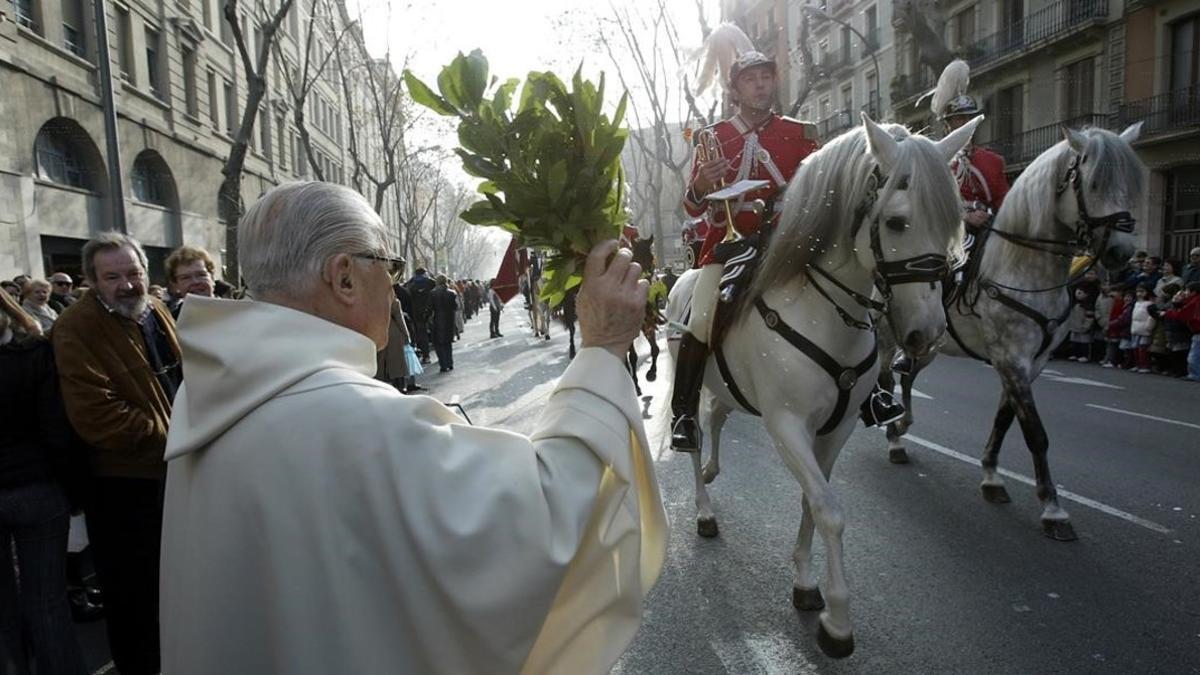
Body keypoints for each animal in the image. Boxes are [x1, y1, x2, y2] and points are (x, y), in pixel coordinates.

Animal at [662, 112, 979, 653]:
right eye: (896, 221)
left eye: (952, 221)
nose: (928, 333)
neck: (824, 310)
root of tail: (680, 276)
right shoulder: (787, 426)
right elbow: (829, 508)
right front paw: (838, 621)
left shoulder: (837, 428)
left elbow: (815, 501)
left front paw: (808, 585)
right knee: (695, 430)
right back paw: (703, 506)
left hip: (728, 389)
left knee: (717, 419)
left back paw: (712, 470)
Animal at [873, 123, 1142, 538]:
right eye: (1095, 183)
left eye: (1129, 183)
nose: (1120, 252)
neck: (1024, 269)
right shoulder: (1010, 358)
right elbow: (1035, 432)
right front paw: (1052, 508)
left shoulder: (1030, 363)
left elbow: (1005, 419)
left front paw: (991, 477)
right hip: (891, 337)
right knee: (889, 376)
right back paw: (894, 439)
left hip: (929, 343)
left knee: (908, 377)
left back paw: (903, 424)